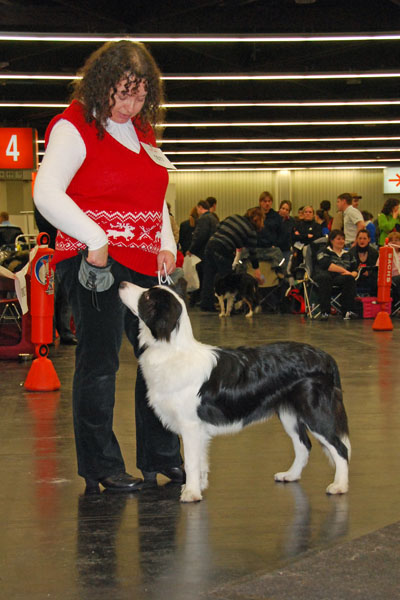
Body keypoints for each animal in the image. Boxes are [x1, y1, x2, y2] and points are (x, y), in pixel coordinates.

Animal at [119, 280, 350, 502]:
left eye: (147, 296)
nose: (121, 284)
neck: (171, 348)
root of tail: (326, 357)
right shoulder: (199, 429)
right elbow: (201, 461)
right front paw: (199, 486)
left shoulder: (190, 424)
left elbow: (192, 462)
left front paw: (191, 494)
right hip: (289, 414)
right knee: (304, 446)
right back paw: (290, 475)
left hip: (315, 412)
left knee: (340, 448)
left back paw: (339, 486)